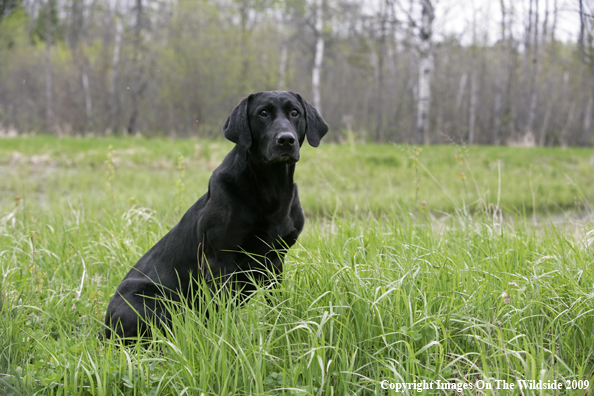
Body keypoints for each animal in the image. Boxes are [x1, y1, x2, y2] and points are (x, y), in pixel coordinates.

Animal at [104, 90, 328, 340]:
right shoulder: (219, 261)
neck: (271, 188)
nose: (286, 140)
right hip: (149, 300)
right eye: (263, 113)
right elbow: (220, 312)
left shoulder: (276, 260)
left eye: (295, 112)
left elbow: (276, 305)